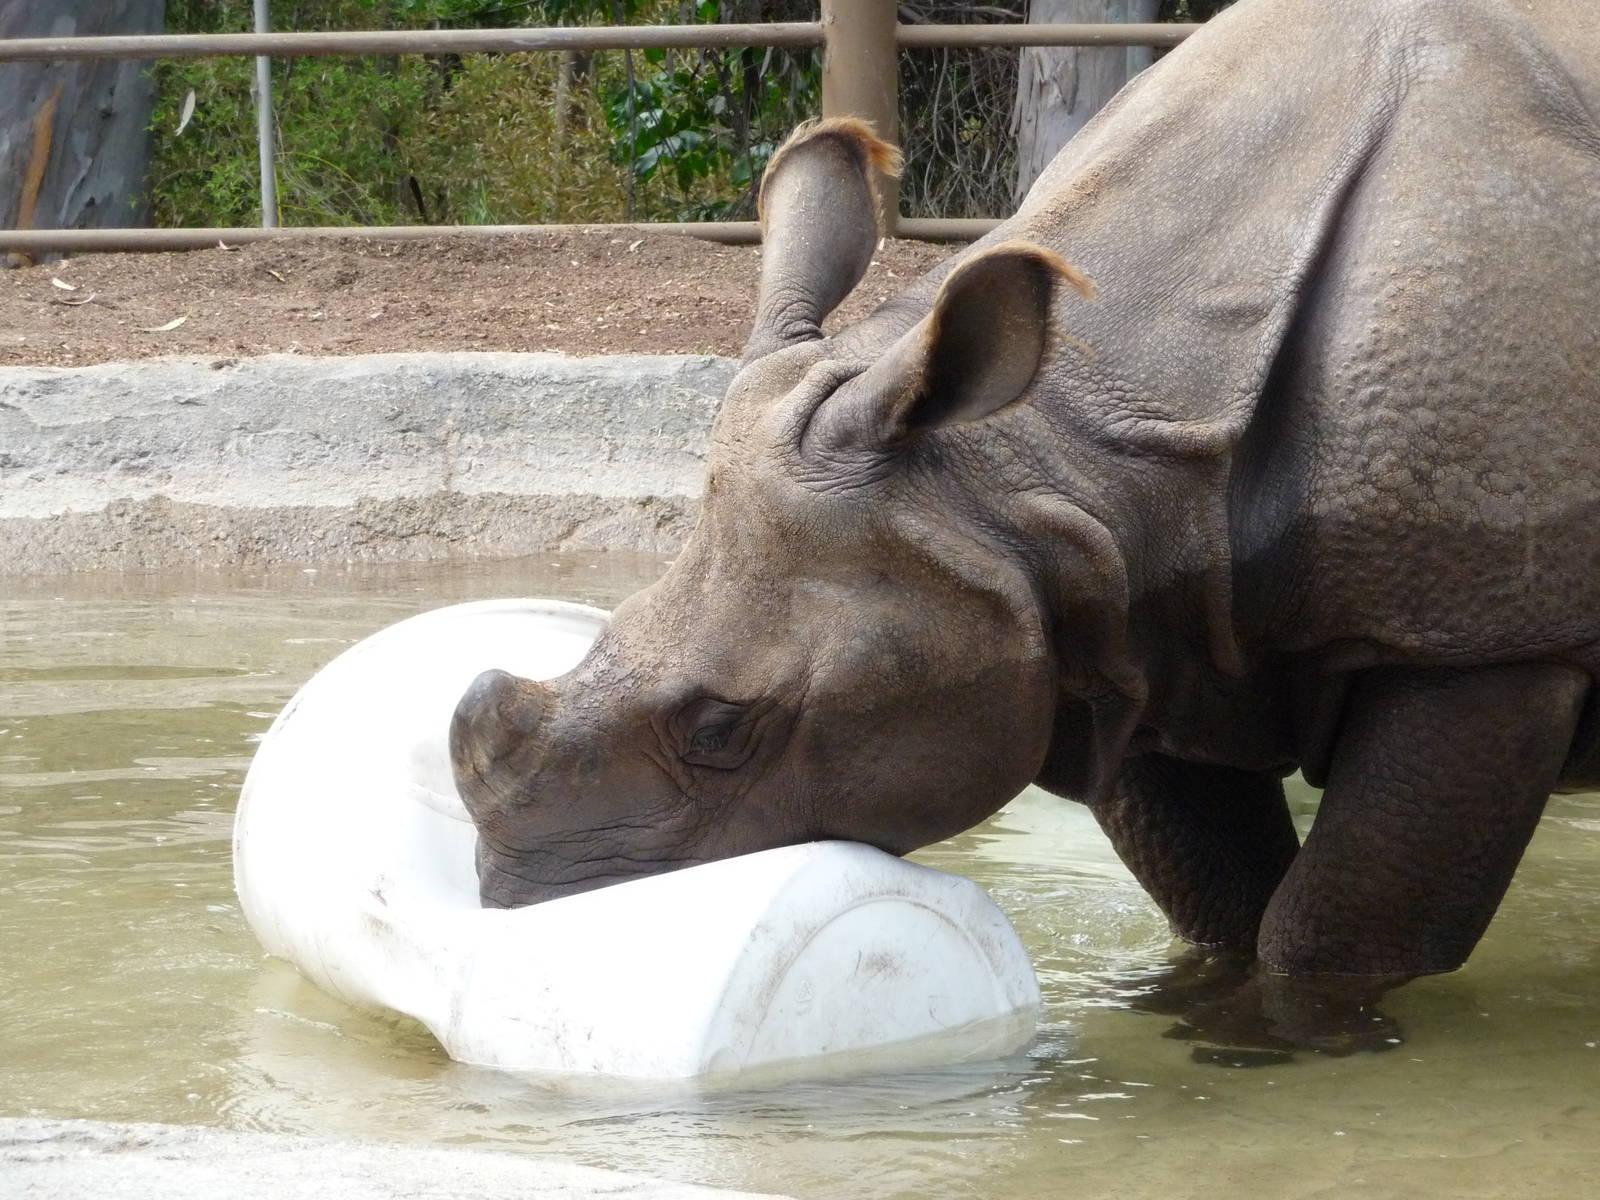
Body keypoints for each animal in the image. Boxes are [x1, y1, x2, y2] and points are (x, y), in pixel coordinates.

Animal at [452, 0, 1600, 1048]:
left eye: (720, 733)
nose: (512, 891)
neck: (1048, 459)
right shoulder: (1130, 618)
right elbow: (1225, 900)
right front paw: (1193, 1020)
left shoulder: (1483, 647)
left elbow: (1331, 932)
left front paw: (1285, 1050)